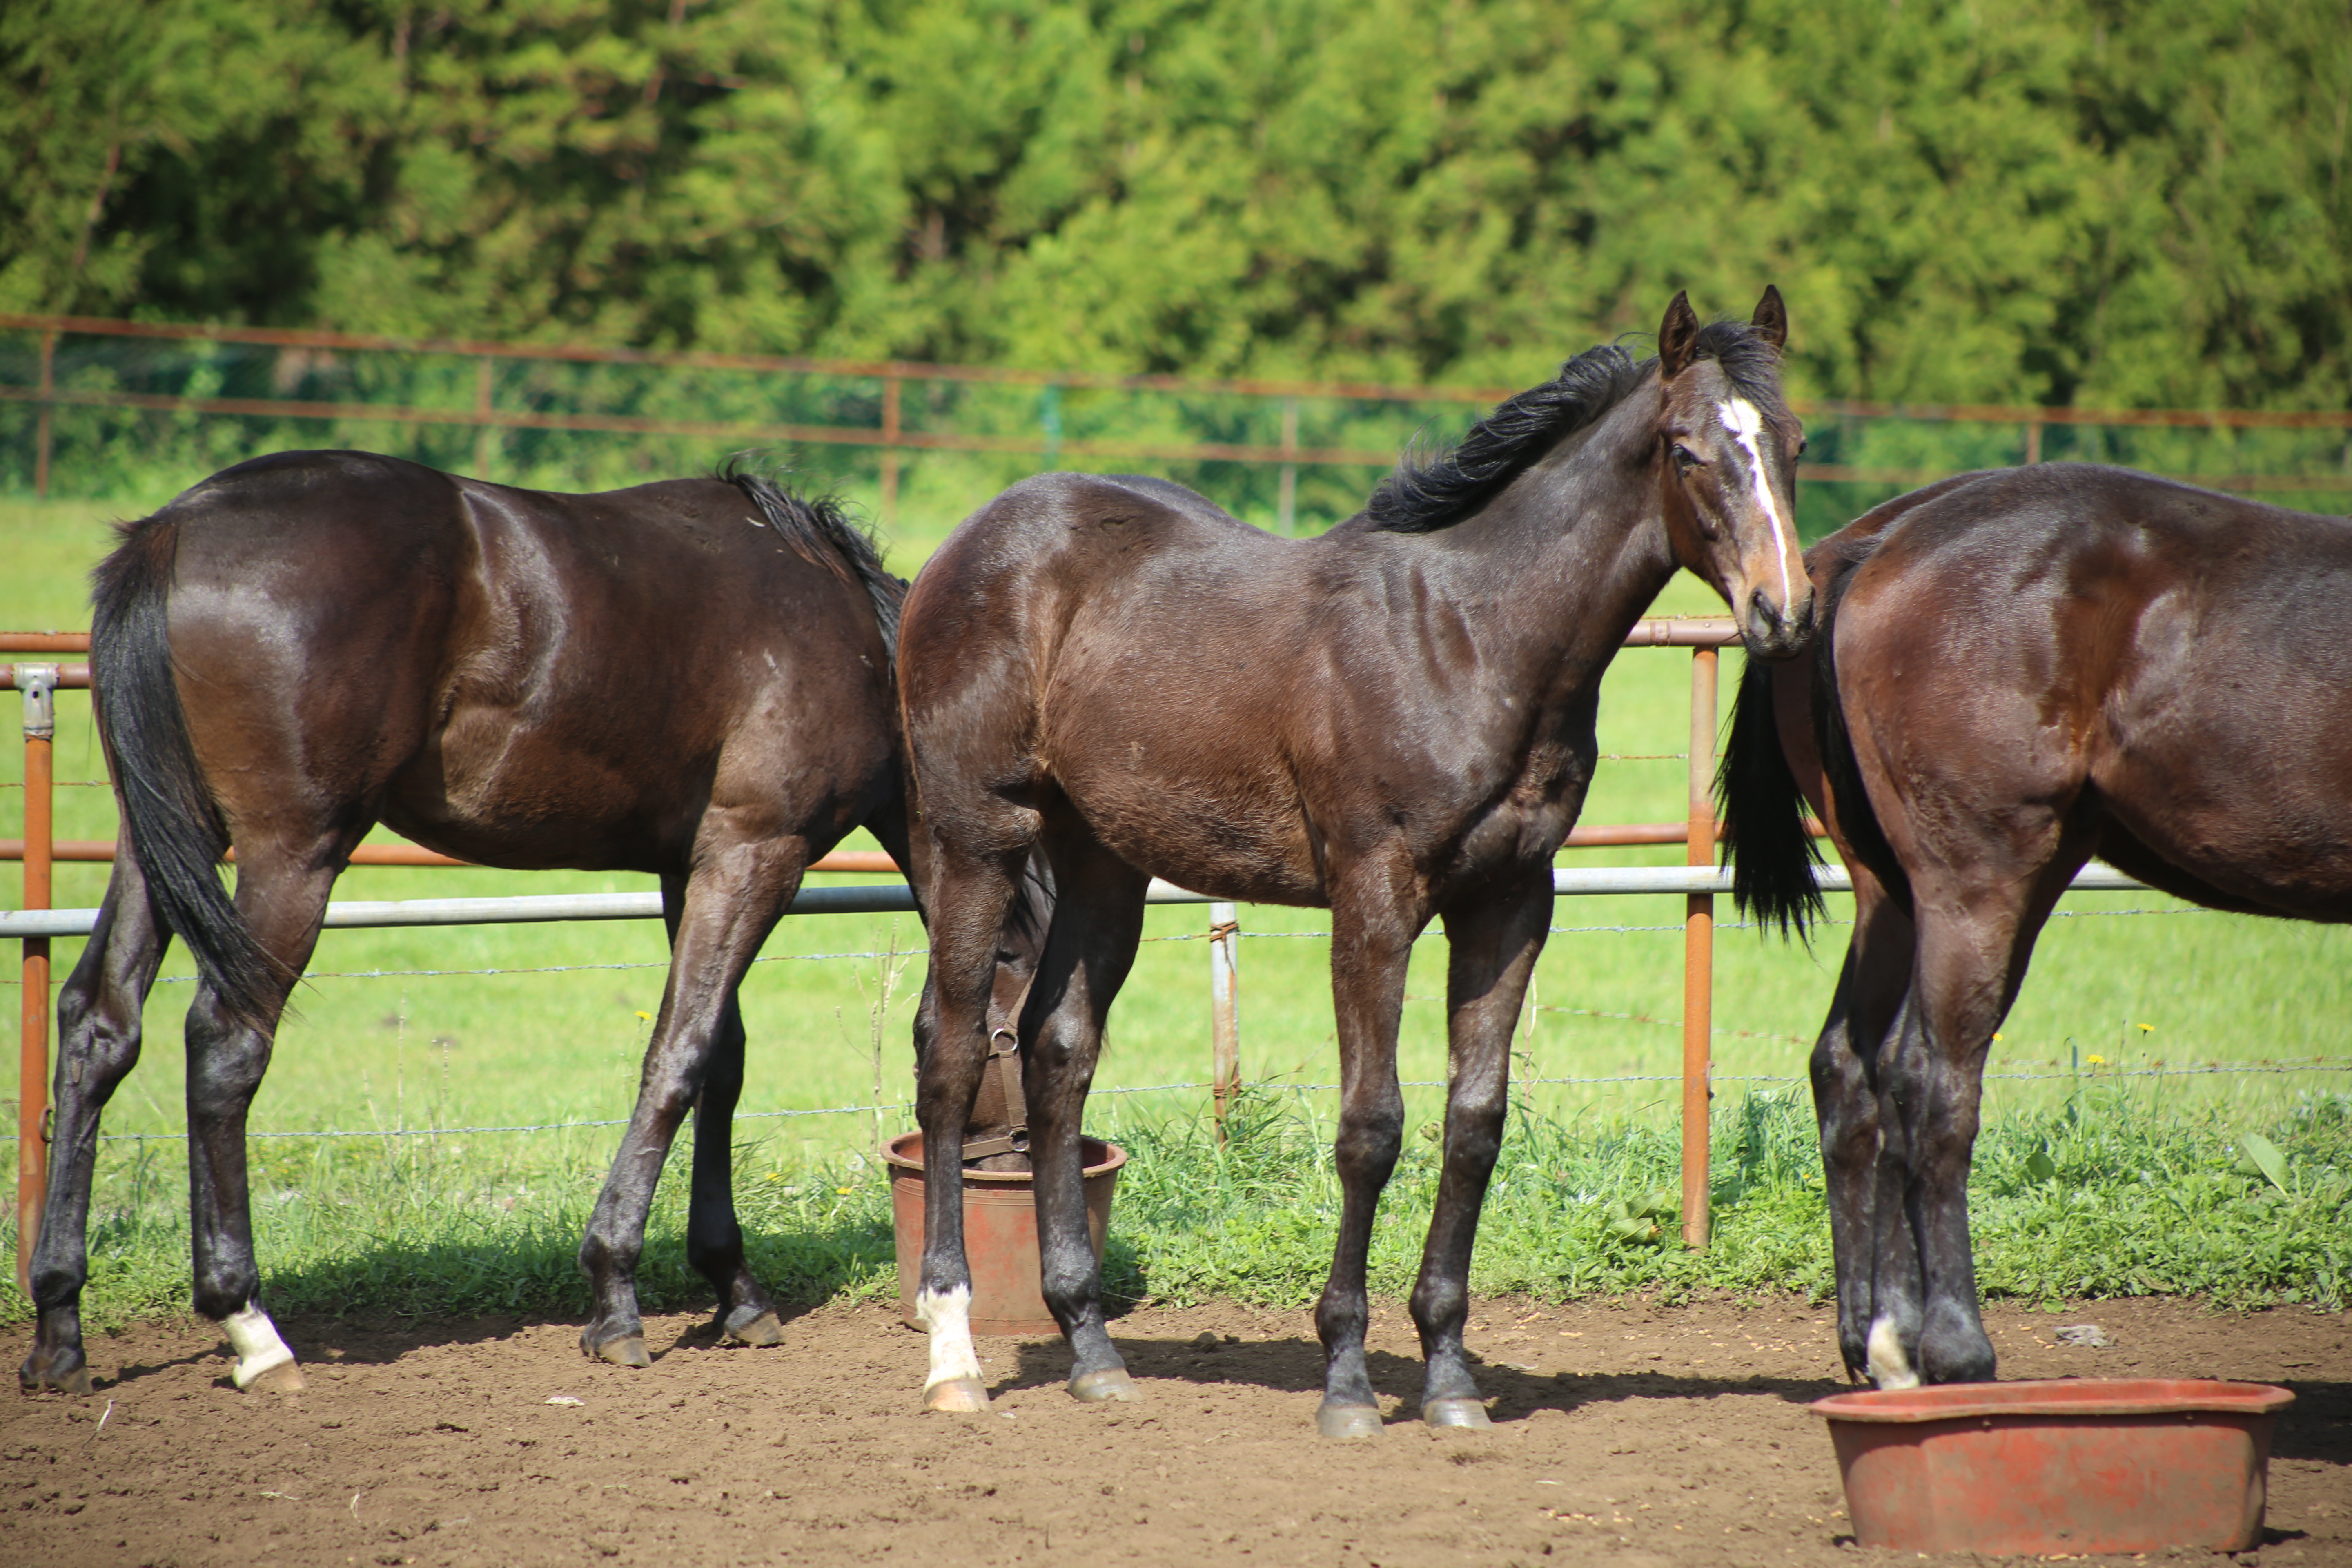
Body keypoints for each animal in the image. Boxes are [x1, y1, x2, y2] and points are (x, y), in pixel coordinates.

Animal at [11, 454, 1039, 1401]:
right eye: (1015, 1031)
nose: (1018, 1158)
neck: (850, 635)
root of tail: (173, 531)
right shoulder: (756, 852)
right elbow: (678, 1056)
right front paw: (615, 1290)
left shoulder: (695, 863)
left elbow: (720, 1062)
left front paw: (734, 1285)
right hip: (288, 853)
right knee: (225, 1043)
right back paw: (249, 1324)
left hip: (161, 843)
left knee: (99, 1025)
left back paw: (60, 1324)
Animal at [903, 285, 1815, 1439]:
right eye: (1687, 449)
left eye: (1792, 443)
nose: (1783, 612)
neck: (1469, 638)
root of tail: (964, 545)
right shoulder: (1373, 896)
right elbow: (1371, 1125)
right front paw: (1345, 1378)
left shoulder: (1511, 900)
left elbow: (1473, 1123)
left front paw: (1450, 1377)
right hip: (975, 838)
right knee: (950, 1054)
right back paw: (953, 1352)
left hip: (1104, 858)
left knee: (1057, 1048)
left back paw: (1091, 1347)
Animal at [1722, 463, 2352, 1382]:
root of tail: (1874, 545)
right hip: (1980, 884)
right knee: (1930, 1079)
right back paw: (1954, 1347)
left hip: (1907, 892)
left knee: (1852, 1065)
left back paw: (1882, 1340)